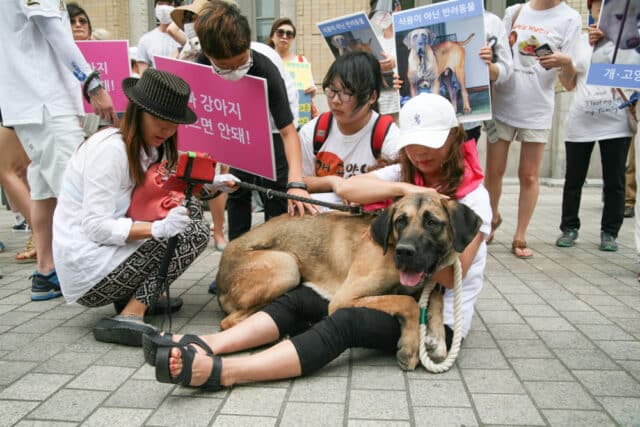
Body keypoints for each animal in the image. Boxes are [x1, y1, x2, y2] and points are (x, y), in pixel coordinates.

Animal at [215, 194, 480, 372]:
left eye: (432, 222)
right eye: (400, 221)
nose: (404, 252)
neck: (390, 245)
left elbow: (434, 295)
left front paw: (437, 337)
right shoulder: (346, 298)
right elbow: (408, 302)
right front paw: (411, 346)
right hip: (286, 267)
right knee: (229, 321)